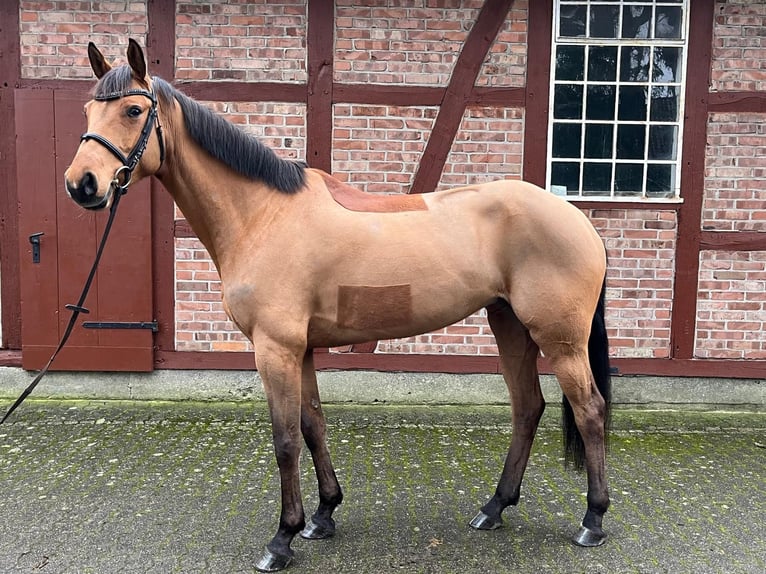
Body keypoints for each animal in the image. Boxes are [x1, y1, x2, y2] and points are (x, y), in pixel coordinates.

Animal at [66, 39, 616, 572]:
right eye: (88, 110)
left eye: (134, 110)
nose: (81, 184)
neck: (262, 214)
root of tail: (578, 218)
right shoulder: (302, 350)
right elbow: (313, 426)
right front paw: (323, 515)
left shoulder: (275, 349)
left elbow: (285, 439)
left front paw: (282, 539)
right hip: (509, 325)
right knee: (528, 407)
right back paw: (494, 507)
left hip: (560, 340)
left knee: (590, 410)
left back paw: (592, 519)